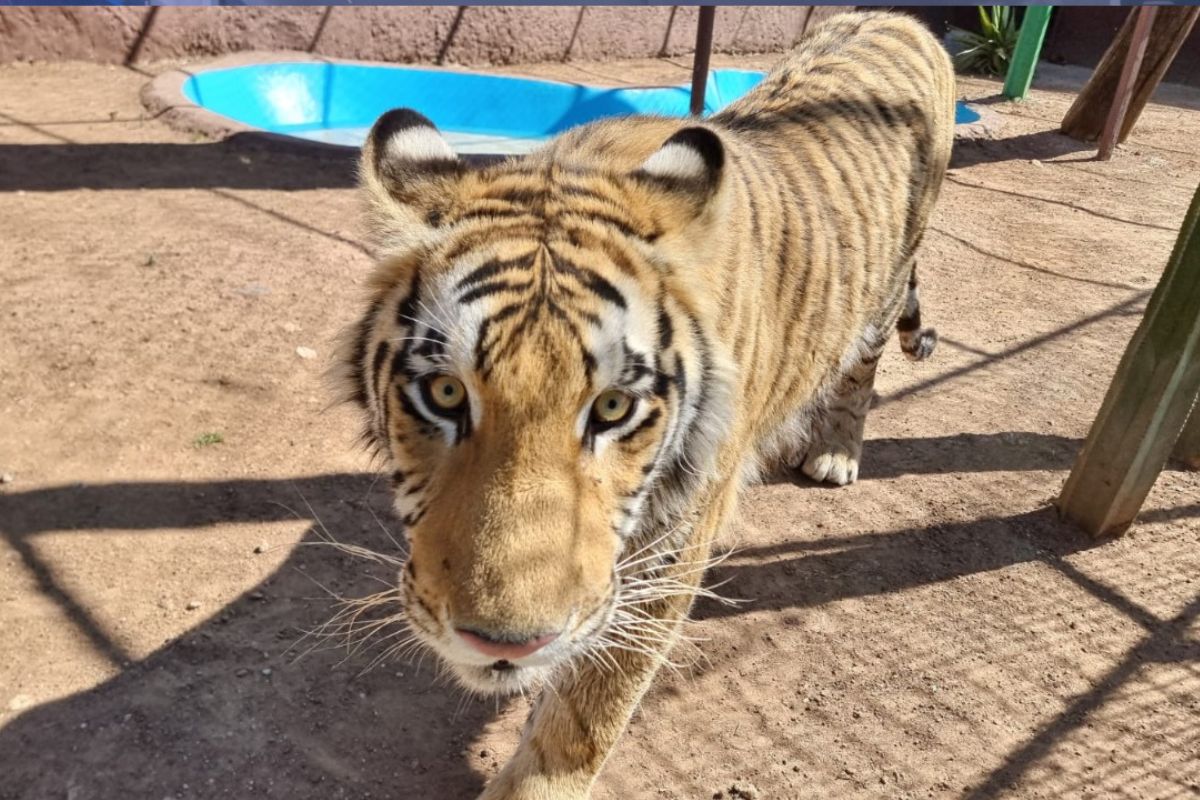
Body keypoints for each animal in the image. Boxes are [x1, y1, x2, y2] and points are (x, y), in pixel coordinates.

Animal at [336, 11, 954, 799]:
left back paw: (835, 453)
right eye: (445, 392)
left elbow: (590, 709)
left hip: (883, 295)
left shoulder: (670, 544)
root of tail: (902, 18)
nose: (505, 644)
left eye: (611, 409)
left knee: (860, 373)